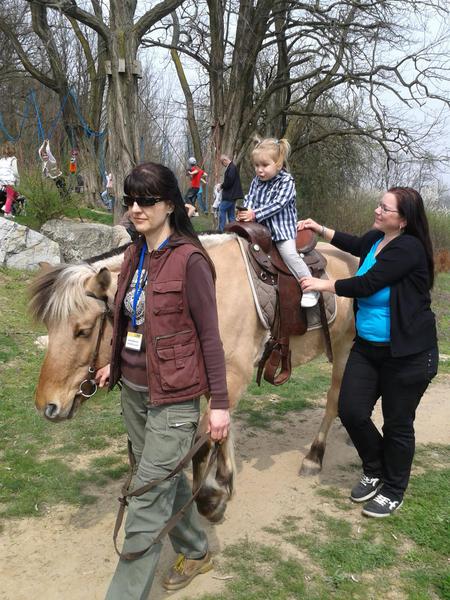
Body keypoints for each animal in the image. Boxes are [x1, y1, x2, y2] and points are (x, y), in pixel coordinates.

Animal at [29, 233, 357, 523]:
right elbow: (221, 433)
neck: (212, 293)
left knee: (333, 401)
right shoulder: (217, 383)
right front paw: (225, 481)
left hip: (346, 348)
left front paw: (211, 501)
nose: (47, 406)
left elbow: (201, 448)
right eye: (49, 326)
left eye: (83, 331)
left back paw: (314, 457)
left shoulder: (232, 379)